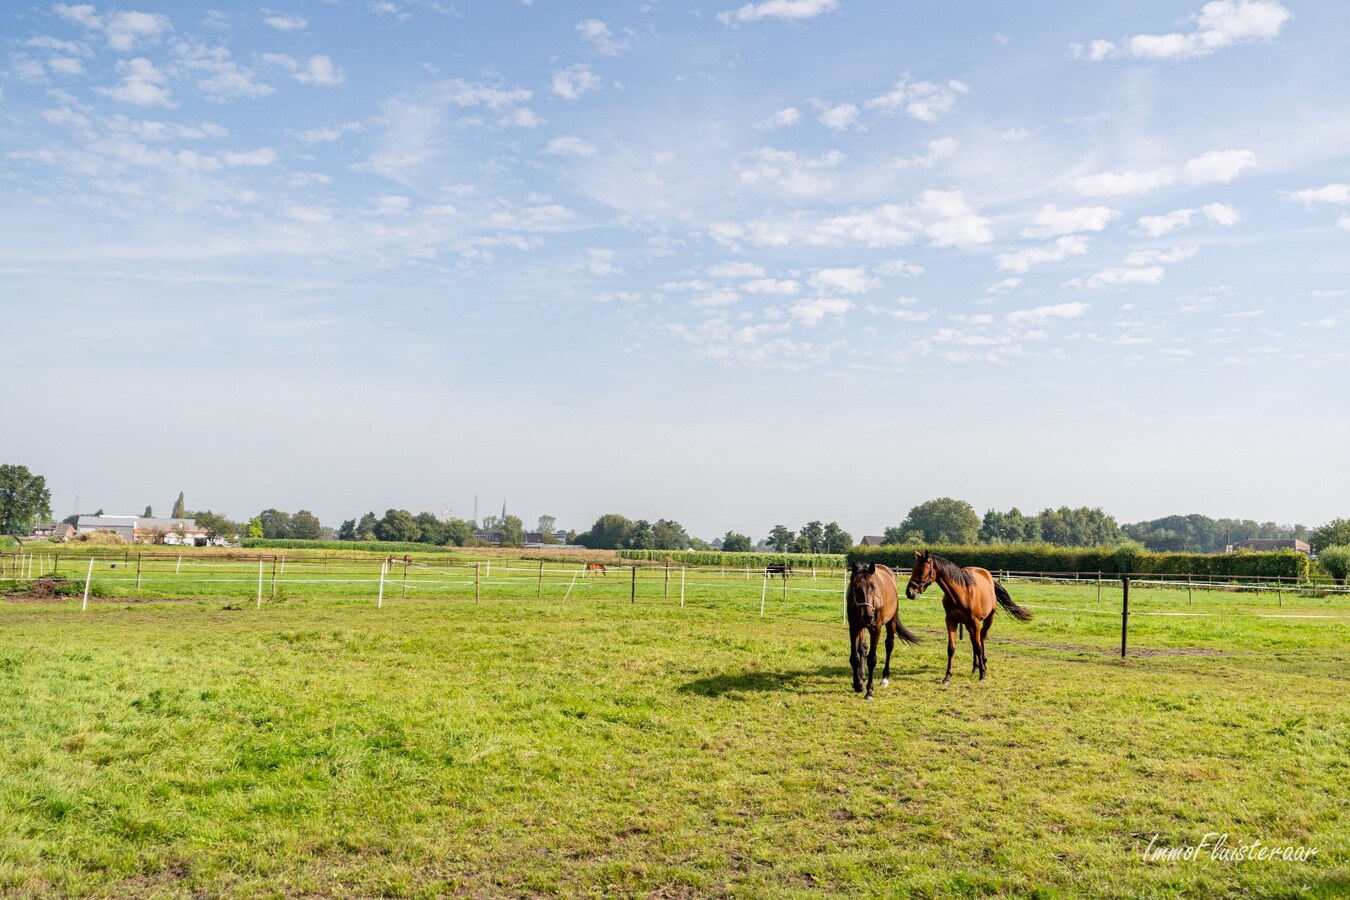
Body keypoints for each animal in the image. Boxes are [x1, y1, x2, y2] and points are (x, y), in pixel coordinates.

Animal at [842, 558, 918, 701]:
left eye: (873, 587)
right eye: (856, 588)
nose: (868, 616)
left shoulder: (875, 628)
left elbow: (872, 659)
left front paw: (869, 691)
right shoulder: (854, 627)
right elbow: (854, 657)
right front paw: (858, 683)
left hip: (891, 621)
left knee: (889, 645)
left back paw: (885, 678)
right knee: (863, 648)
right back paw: (862, 676)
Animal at [907, 550, 1031, 682]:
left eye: (922, 570)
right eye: (913, 568)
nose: (909, 592)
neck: (961, 594)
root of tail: (988, 577)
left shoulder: (975, 621)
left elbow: (978, 646)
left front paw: (983, 674)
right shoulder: (951, 621)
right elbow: (951, 648)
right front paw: (947, 676)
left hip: (988, 619)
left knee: (982, 639)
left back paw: (983, 664)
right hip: (968, 624)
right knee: (973, 640)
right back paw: (975, 666)